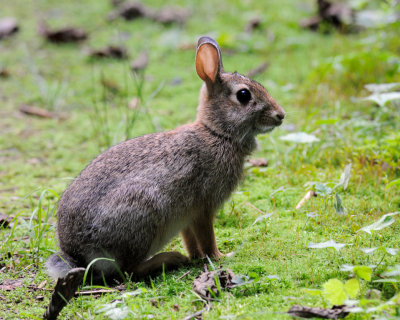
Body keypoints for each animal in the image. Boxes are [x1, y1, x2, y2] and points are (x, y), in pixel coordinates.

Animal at [46, 35, 284, 282]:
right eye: (244, 95)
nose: (281, 115)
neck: (217, 133)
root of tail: (78, 256)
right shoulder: (204, 207)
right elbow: (207, 237)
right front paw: (220, 257)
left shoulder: (186, 216)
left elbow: (191, 239)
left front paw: (195, 257)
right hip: (143, 213)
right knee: (129, 269)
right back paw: (169, 259)